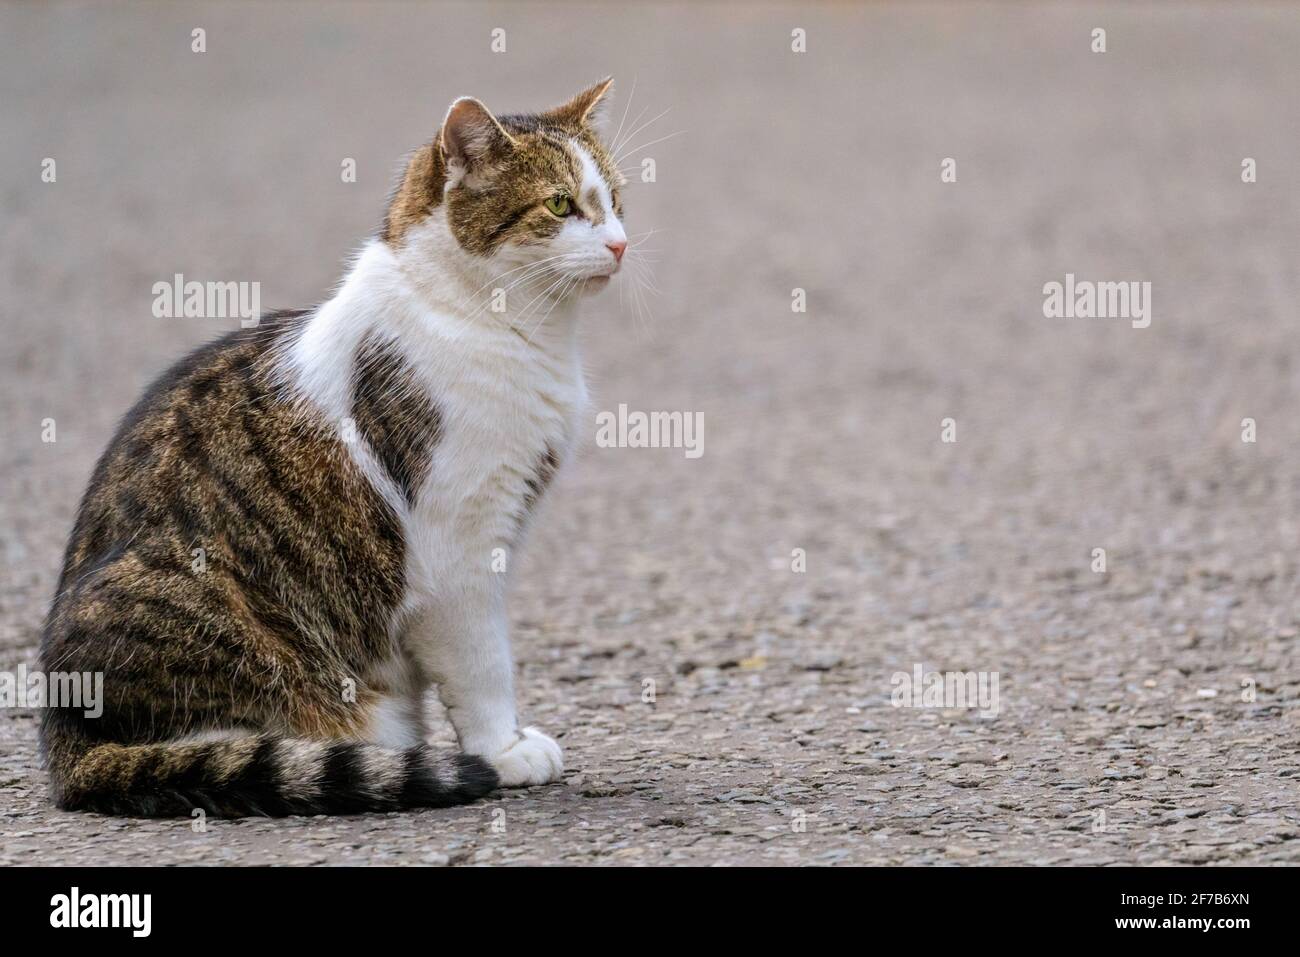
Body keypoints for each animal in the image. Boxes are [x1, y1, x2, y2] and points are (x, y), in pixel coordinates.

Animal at [40, 78, 629, 816]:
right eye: (559, 205)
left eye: (616, 198)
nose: (621, 245)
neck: (510, 325)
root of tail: (62, 743)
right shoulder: (458, 549)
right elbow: (484, 663)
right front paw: (502, 749)